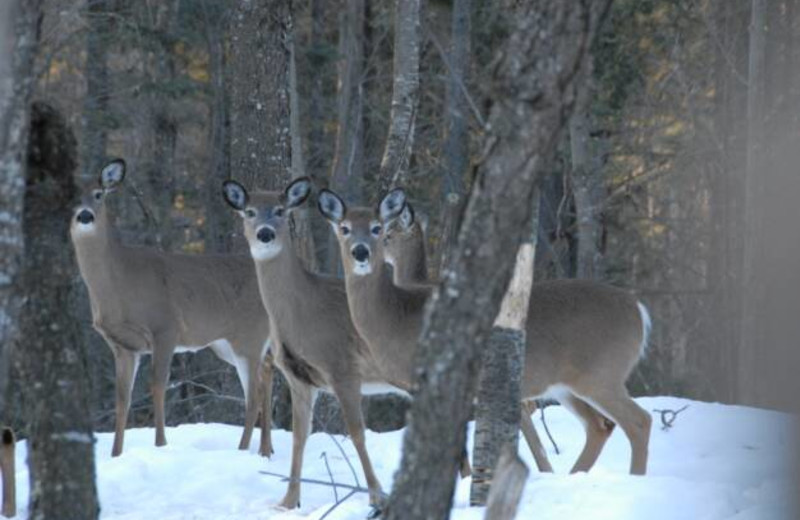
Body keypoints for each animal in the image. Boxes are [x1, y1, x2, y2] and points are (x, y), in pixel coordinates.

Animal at [70, 159, 276, 460]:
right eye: (73, 196)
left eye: (99, 194)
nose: (85, 216)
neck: (119, 282)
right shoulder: (122, 345)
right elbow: (122, 398)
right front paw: (116, 454)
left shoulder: (165, 327)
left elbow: (157, 387)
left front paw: (160, 444)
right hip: (226, 344)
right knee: (269, 374)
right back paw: (265, 450)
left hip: (248, 336)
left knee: (255, 393)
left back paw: (244, 450)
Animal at [222, 177, 396, 512]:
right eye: (249, 211)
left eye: (280, 210)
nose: (265, 233)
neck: (305, 310)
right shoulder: (299, 377)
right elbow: (299, 436)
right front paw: (288, 501)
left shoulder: (343, 367)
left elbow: (357, 432)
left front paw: (376, 495)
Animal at [316, 187, 652, 476]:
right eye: (344, 228)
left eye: (379, 229)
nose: (361, 252)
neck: (397, 315)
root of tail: (640, 310)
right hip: (566, 385)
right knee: (600, 427)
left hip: (601, 374)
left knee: (639, 421)